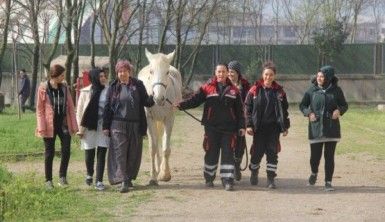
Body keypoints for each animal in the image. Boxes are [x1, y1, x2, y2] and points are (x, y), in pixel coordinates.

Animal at [137, 48, 182, 186]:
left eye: (167, 72)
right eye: (151, 71)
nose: (158, 98)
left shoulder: (169, 119)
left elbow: (166, 148)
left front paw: (165, 175)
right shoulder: (149, 119)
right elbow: (153, 148)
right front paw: (153, 177)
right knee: (156, 142)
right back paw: (157, 169)